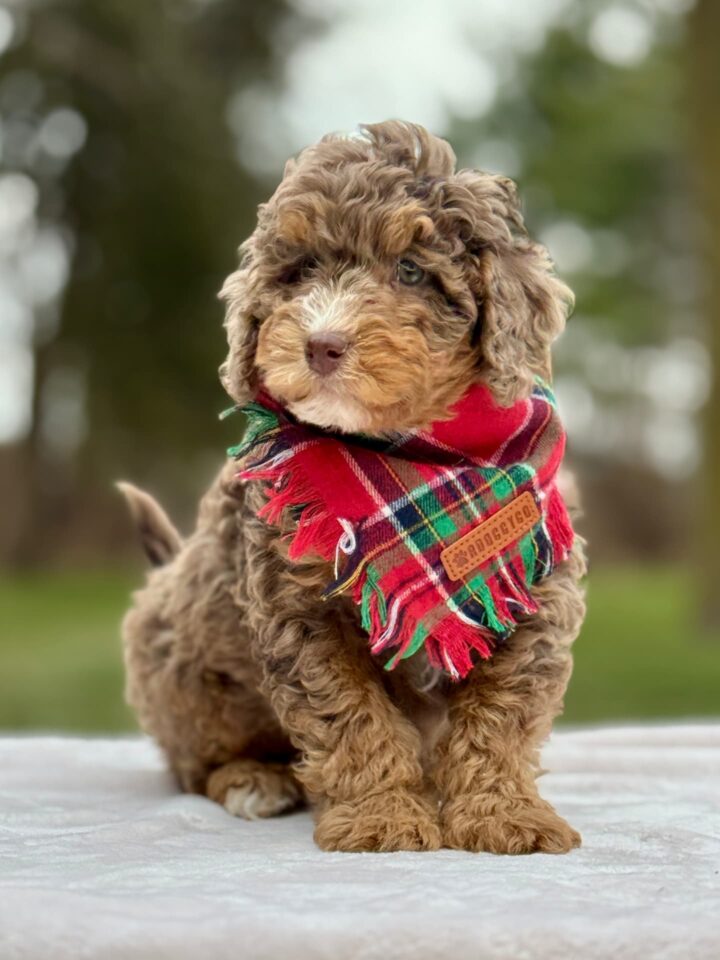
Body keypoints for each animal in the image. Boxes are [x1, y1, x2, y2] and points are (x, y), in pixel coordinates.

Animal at [122, 122, 584, 856]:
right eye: (303, 269)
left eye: (412, 271)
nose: (322, 344)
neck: (409, 456)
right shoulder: (297, 606)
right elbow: (351, 714)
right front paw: (383, 817)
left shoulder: (532, 589)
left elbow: (503, 712)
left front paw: (504, 811)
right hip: (182, 678)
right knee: (196, 765)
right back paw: (253, 781)